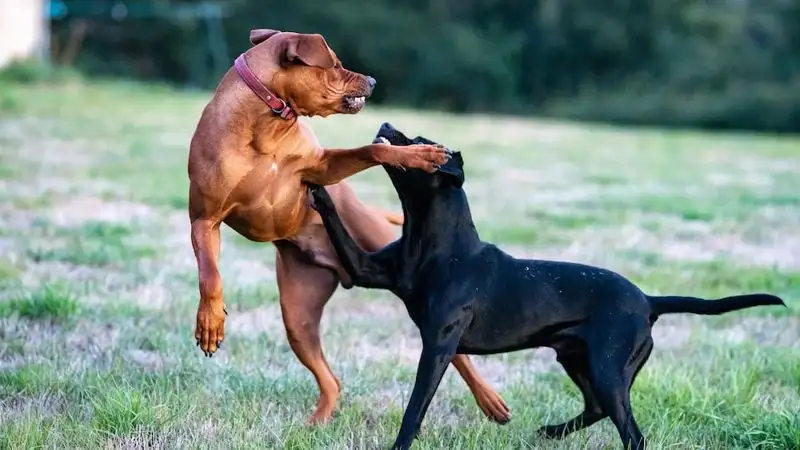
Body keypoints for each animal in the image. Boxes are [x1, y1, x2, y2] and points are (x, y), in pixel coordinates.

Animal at [186, 29, 512, 426]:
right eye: (336, 64)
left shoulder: (322, 167)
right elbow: (210, 275)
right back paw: (317, 423)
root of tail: (340, 269)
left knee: (459, 355)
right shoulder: (204, 221)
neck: (267, 124)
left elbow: (374, 150)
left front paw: (416, 155)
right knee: (331, 379)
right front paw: (210, 322)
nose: (372, 81)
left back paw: (490, 401)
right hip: (297, 317)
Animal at [306, 123, 788, 450]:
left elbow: (415, 406)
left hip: (609, 369)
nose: (387, 125)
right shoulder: (366, 271)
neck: (434, 240)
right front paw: (315, 184)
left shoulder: (439, 344)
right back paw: (552, 432)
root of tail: (649, 301)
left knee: (631, 433)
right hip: (578, 359)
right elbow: (338, 227)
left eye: (421, 142)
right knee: (596, 409)